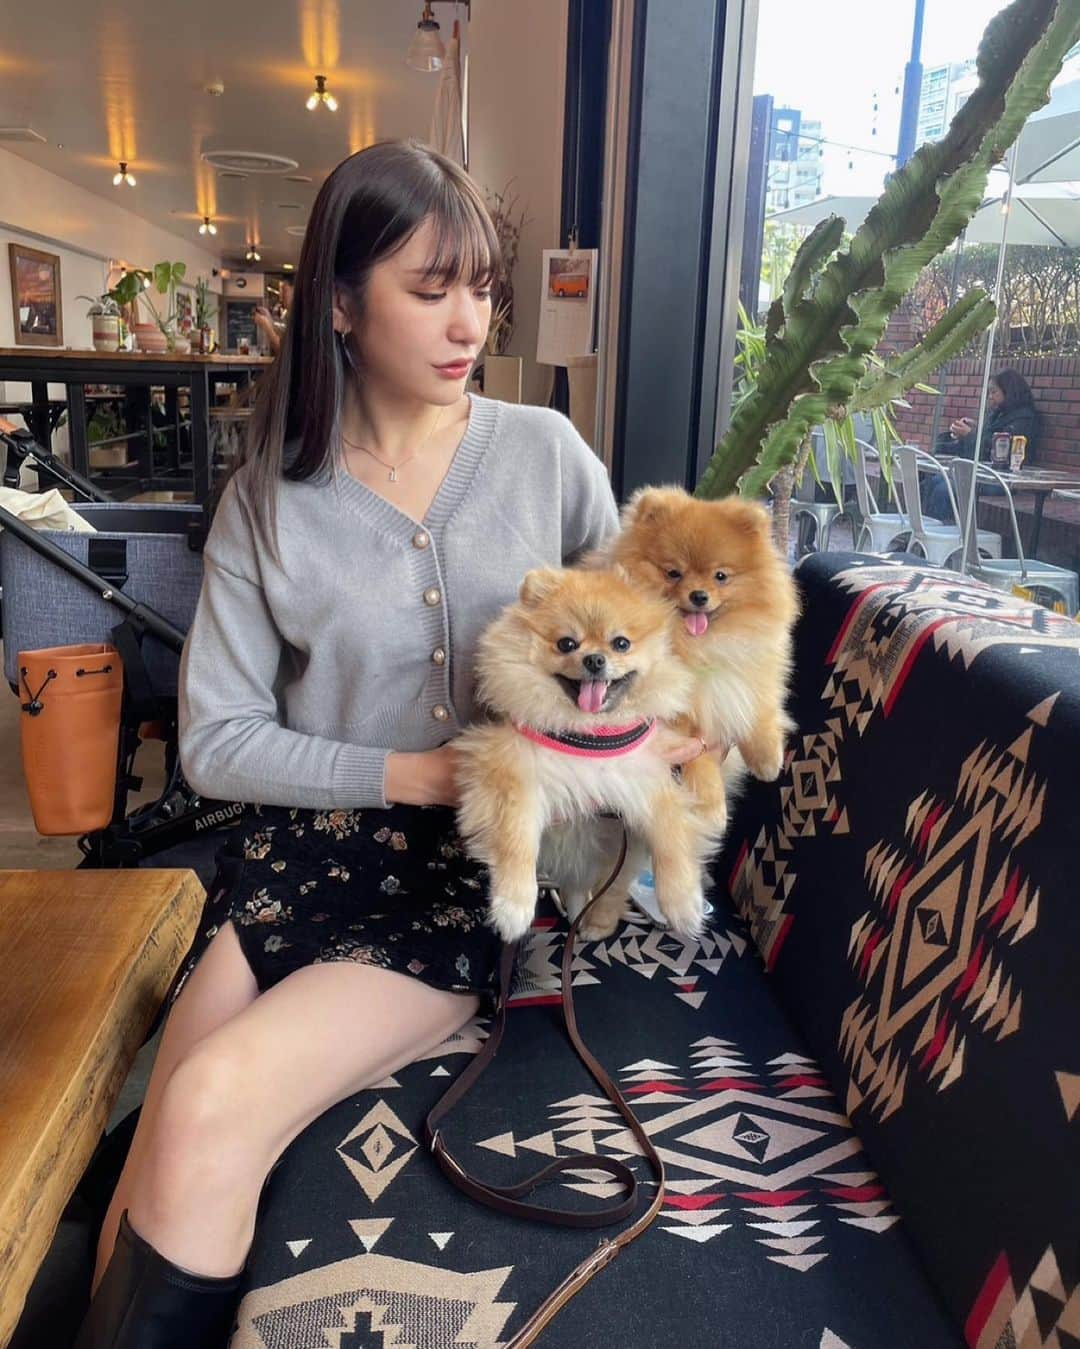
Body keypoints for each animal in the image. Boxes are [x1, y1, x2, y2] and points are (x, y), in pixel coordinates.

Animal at [455, 563, 722, 944]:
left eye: (621, 643)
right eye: (567, 643)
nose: (595, 659)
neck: (591, 735)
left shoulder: (651, 776)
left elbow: (672, 839)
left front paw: (684, 904)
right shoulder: (511, 771)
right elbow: (516, 839)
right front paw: (512, 907)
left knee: (600, 886)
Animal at [598, 485, 798, 830]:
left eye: (720, 576)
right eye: (673, 573)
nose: (699, 596)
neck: (702, 648)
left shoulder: (745, 668)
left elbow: (757, 705)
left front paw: (768, 758)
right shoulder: (672, 720)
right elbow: (698, 755)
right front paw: (710, 804)